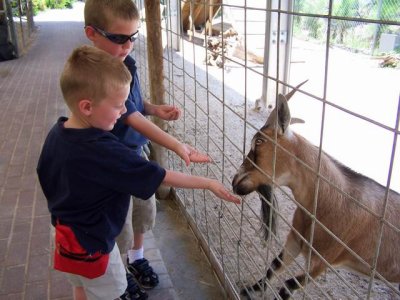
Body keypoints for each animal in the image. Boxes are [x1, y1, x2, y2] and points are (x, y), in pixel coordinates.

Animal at [231, 83, 400, 298]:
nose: (235, 181)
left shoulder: (322, 262)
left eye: (259, 142)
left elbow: (289, 284)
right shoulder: (295, 239)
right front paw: (252, 289)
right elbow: (274, 265)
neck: (330, 202)